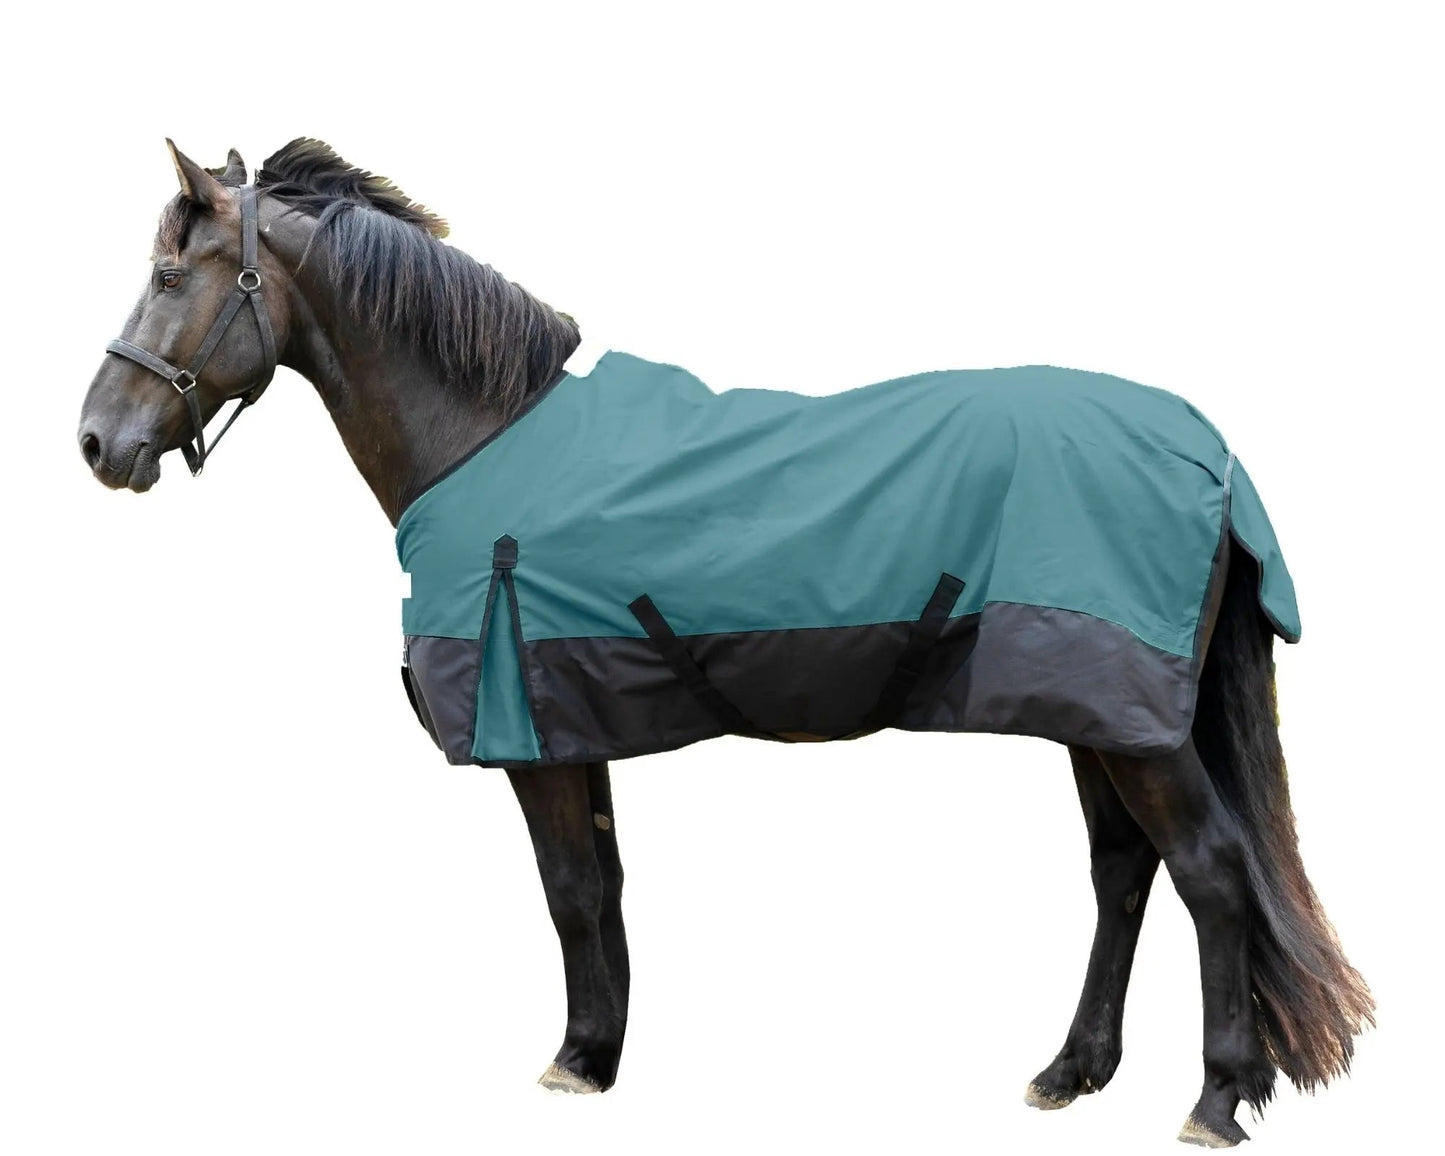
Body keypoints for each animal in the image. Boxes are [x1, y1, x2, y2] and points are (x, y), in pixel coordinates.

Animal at [76, 138, 1373, 1148]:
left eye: (168, 274)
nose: (96, 441)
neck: (486, 435)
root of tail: (1204, 447)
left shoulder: (531, 730)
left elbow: (567, 889)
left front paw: (572, 1062)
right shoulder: (570, 720)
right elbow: (599, 887)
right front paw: (598, 1051)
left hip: (1131, 725)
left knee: (1208, 872)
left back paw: (1212, 1099)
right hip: (1092, 716)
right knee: (1121, 872)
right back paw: (1070, 1072)